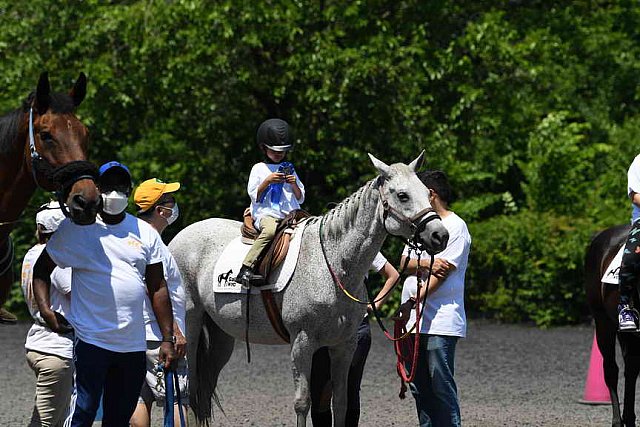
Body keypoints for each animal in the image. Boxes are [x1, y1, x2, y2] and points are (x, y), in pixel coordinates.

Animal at [170, 154, 450, 427]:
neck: (332, 264)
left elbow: (341, 402)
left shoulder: (344, 345)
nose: (440, 236)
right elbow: (303, 403)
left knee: (202, 393)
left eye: (427, 193)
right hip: (191, 327)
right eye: (402, 195)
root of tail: (180, 237)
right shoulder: (302, 344)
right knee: (191, 389)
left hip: (221, 337)